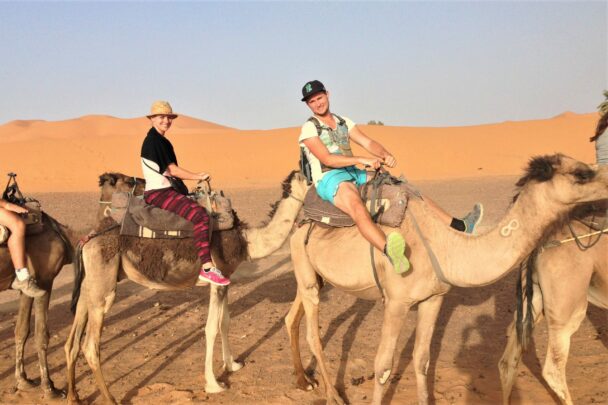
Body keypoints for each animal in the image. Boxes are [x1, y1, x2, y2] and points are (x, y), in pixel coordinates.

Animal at [0, 211, 73, 398]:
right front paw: (49, 388)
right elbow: (41, 335)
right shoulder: (45, 280)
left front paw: (23, 381)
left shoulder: (29, 288)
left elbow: (21, 330)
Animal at [64, 171, 306, 404]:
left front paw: (232, 365)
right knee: (91, 346)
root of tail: (87, 239)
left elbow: (225, 323)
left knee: (72, 341)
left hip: (89, 284)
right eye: (308, 177)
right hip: (103, 286)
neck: (246, 240)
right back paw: (110, 399)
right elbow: (211, 328)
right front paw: (214, 384)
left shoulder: (225, 280)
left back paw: (74, 396)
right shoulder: (217, 280)